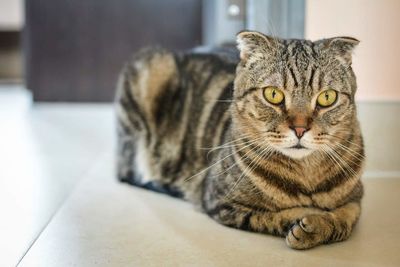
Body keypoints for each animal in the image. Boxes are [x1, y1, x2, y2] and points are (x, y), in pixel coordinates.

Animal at [115, 31, 366, 251]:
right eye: (273, 94)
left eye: (327, 97)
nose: (300, 128)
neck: (306, 174)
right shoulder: (222, 202)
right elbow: (285, 213)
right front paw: (309, 222)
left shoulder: (357, 197)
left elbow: (346, 218)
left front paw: (321, 223)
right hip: (151, 70)